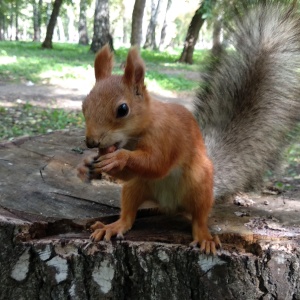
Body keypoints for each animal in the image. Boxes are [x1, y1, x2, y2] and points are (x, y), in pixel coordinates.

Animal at [78, 44, 220, 254]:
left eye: (123, 109)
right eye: (84, 105)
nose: (91, 142)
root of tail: (170, 205)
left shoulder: (165, 136)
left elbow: (157, 164)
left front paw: (119, 158)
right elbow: (131, 173)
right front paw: (85, 164)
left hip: (200, 184)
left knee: (199, 217)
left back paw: (205, 237)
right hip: (135, 187)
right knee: (129, 215)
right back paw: (113, 226)